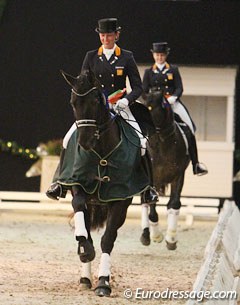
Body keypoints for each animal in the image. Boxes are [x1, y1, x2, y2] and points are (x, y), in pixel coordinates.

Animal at [60, 69, 149, 294]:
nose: (84, 142)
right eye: (72, 102)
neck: (100, 148)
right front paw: (84, 248)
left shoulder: (121, 198)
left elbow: (108, 240)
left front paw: (103, 282)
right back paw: (85, 277)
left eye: (94, 101)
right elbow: (79, 208)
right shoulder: (78, 184)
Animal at [140, 90, 190, 249]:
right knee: (144, 202)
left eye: (150, 108)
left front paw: (171, 238)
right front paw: (156, 236)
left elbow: (174, 204)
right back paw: (146, 235)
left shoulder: (178, 175)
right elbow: (151, 210)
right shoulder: (152, 180)